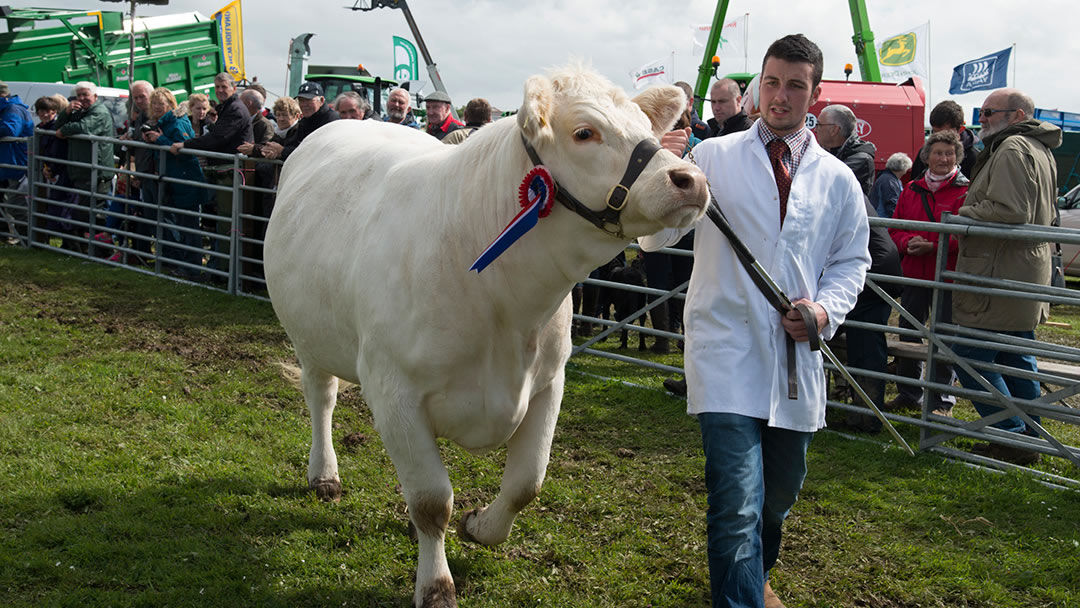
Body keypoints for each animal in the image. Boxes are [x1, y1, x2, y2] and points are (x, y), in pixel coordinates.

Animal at [263, 66, 708, 608]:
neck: (506, 308)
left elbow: (525, 483)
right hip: (309, 335)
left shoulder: (548, 382)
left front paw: (478, 526)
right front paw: (436, 586)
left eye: (648, 128)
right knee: (321, 397)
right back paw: (324, 474)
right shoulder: (394, 391)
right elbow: (432, 500)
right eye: (584, 132)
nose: (690, 179)